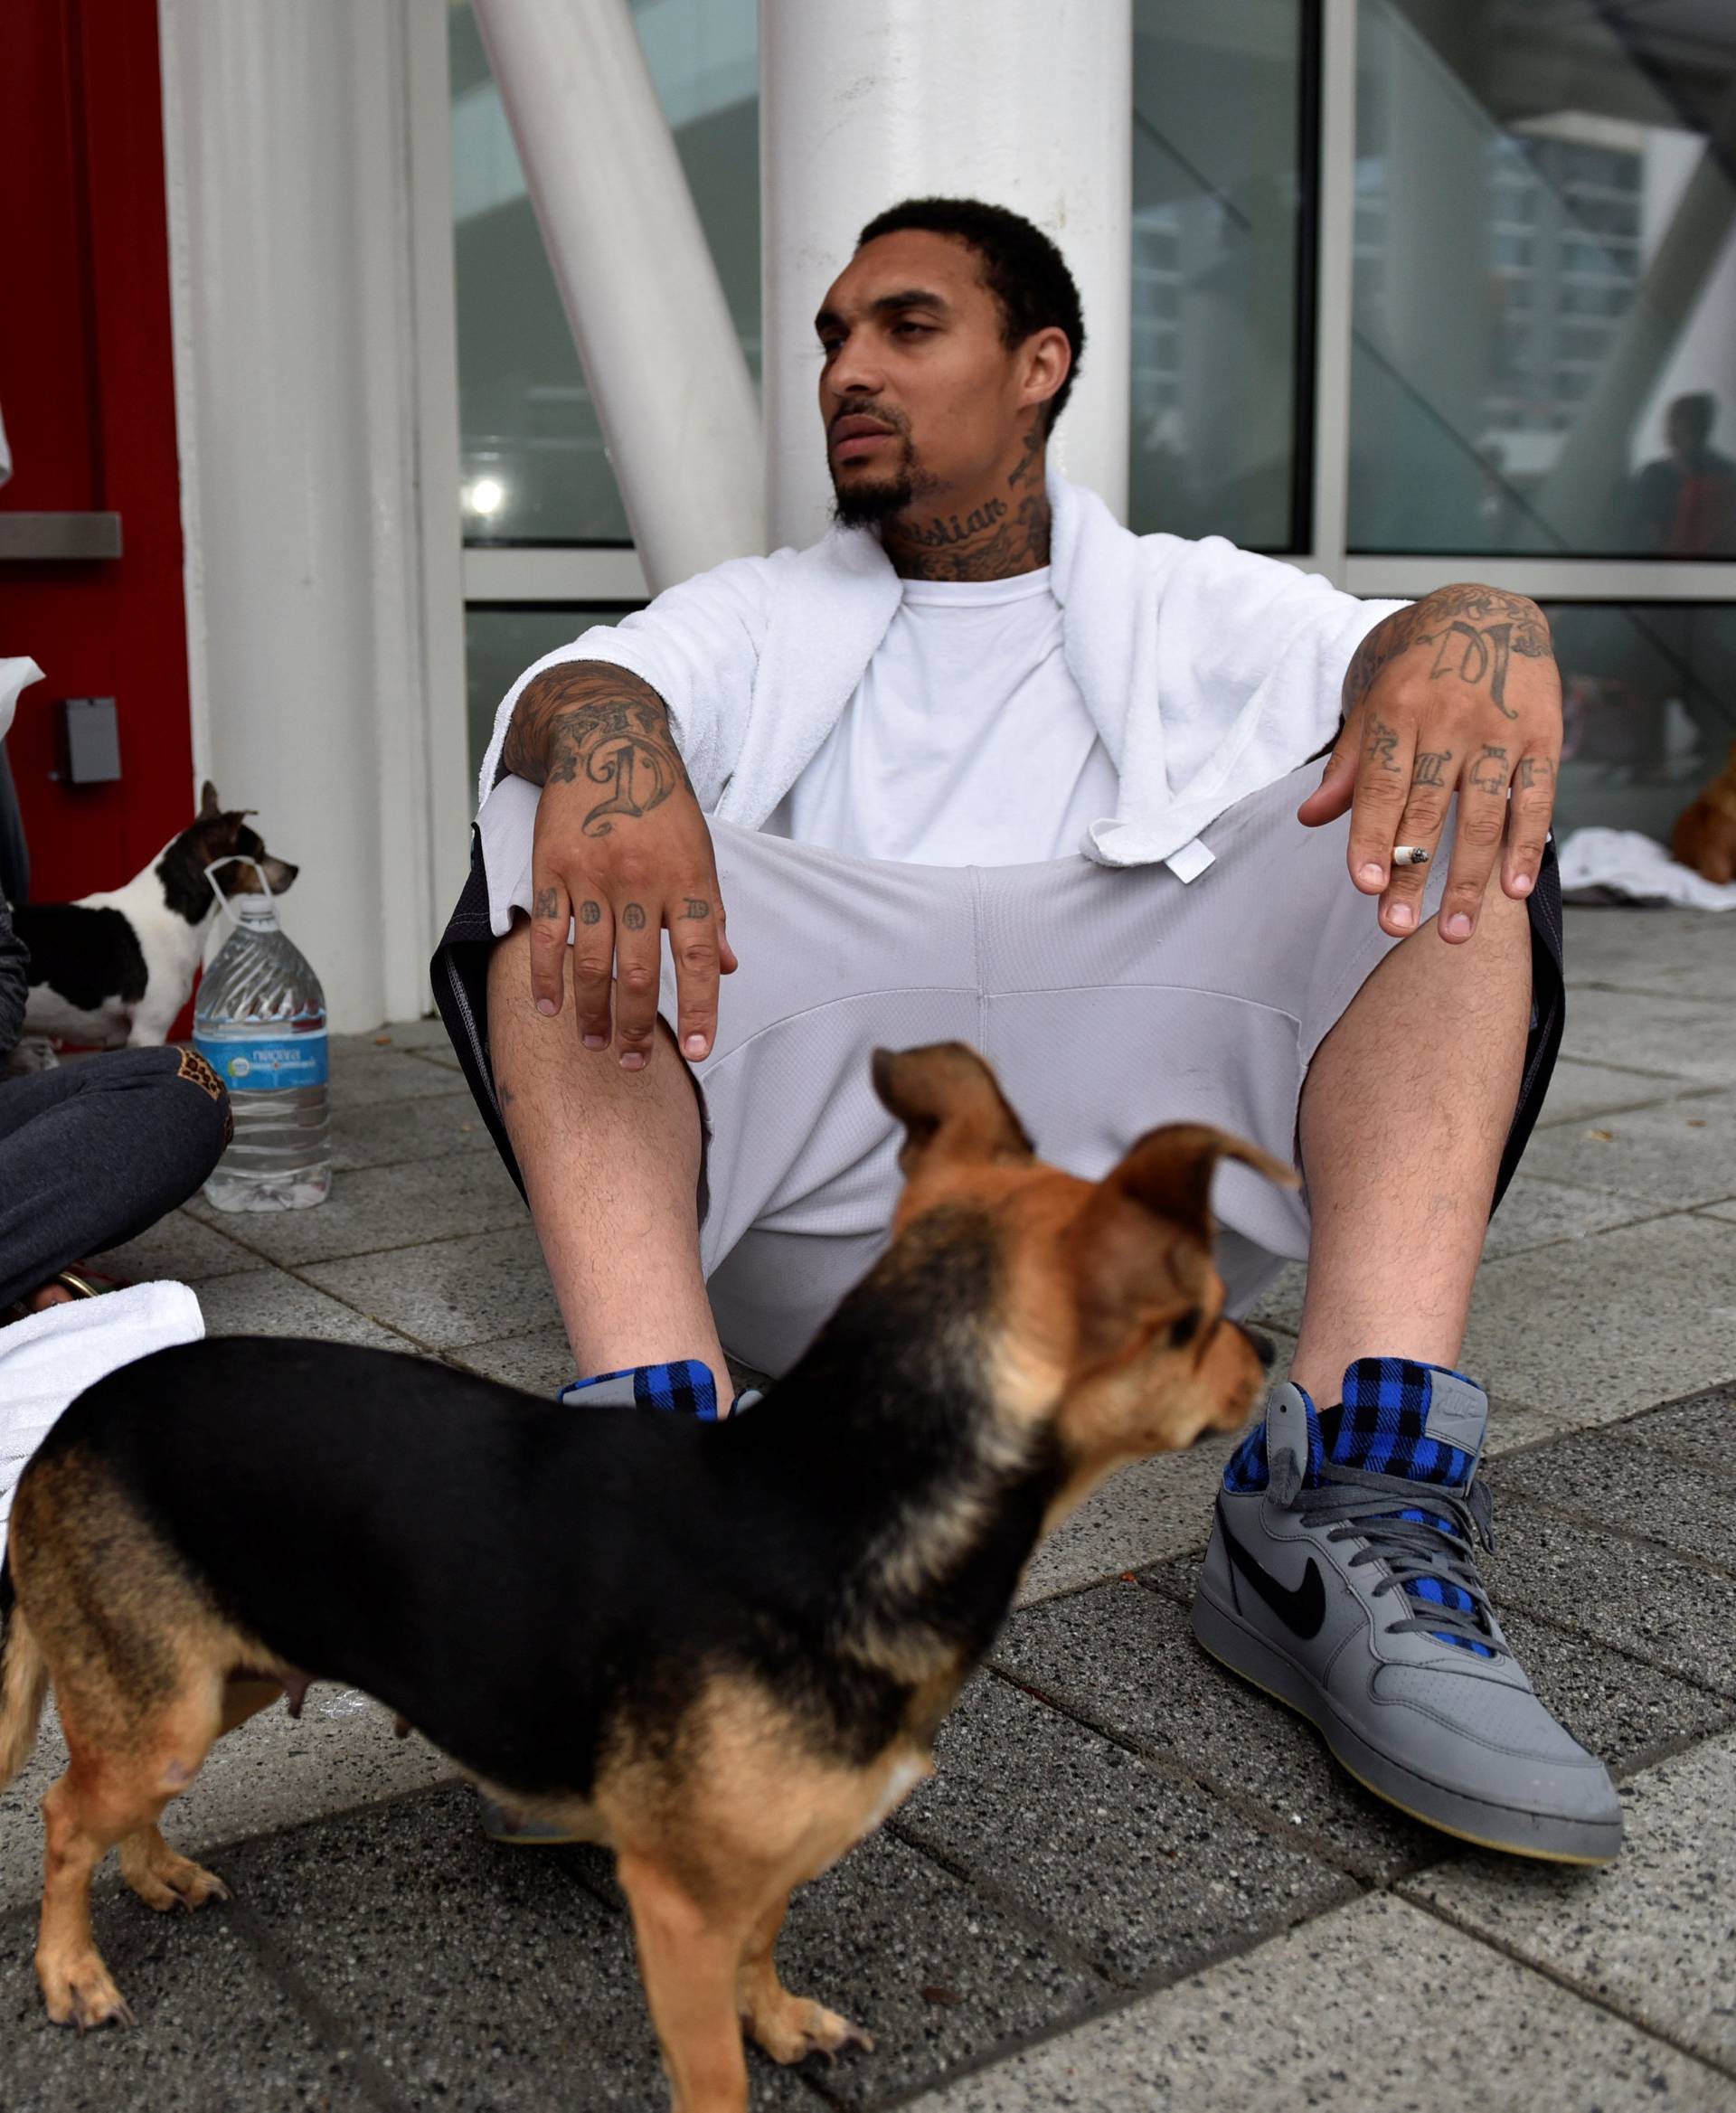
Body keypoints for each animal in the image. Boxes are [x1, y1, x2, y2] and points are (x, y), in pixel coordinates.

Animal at [0, 1043, 1284, 2113]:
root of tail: (68, 1423)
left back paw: (156, 1876)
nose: (1267, 1357)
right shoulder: (679, 1908)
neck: (837, 1504)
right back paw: (68, 1970)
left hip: (220, 1680)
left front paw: (782, 2022)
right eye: (1203, 1317)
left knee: (122, 1797)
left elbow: (764, 1952)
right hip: (168, 1704)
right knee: (66, 1811)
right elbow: (712, 2076)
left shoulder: (753, 1878)